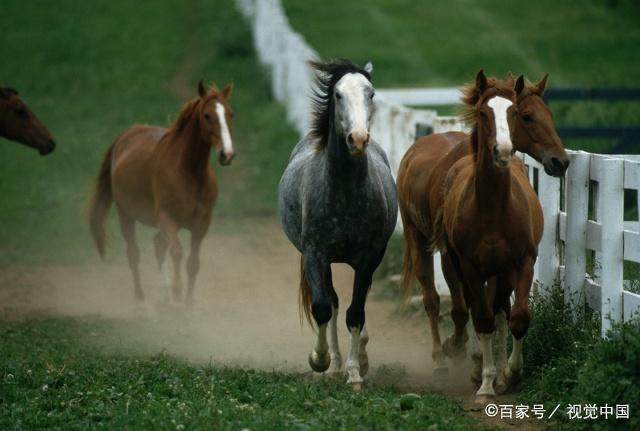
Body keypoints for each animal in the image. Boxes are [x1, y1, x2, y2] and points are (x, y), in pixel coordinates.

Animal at [87, 79, 232, 306]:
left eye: (230, 114)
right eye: (207, 115)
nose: (227, 154)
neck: (189, 173)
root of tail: (126, 135)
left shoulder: (201, 225)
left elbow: (193, 262)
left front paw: (188, 302)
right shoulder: (167, 219)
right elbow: (177, 253)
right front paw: (178, 293)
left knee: (157, 246)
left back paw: (164, 294)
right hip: (125, 214)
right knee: (134, 253)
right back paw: (141, 298)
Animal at [278, 59, 398, 390]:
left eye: (371, 94)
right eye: (338, 95)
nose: (357, 139)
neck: (344, 192)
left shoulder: (369, 259)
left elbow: (355, 313)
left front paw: (355, 372)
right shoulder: (316, 255)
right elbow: (322, 307)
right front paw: (320, 360)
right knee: (330, 303)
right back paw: (333, 362)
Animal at [398, 71, 568, 388]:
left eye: (548, 114)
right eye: (528, 116)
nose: (560, 161)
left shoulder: (511, 264)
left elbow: (500, 311)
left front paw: (496, 368)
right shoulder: (455, 257)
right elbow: (466, 310)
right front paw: (467, 354)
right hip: (419, 239)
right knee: (433, 300)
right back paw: (441, 360)